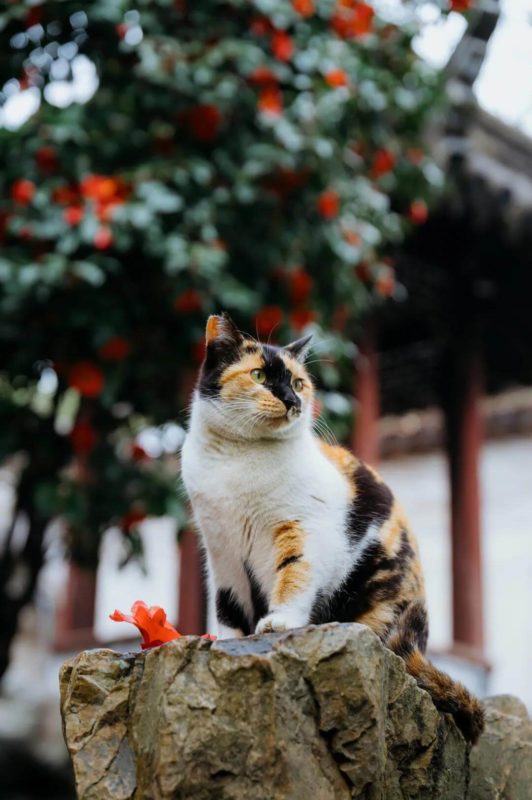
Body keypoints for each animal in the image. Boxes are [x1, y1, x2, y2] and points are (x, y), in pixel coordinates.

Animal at [181, 312, 484, 744]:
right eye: (258, 375)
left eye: (298, 382)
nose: (293, 401)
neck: (238, 459)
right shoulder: (220, 547)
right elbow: (228, 602)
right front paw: (229, 640)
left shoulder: (303, 527)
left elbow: (295, 573)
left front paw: (280, 621)